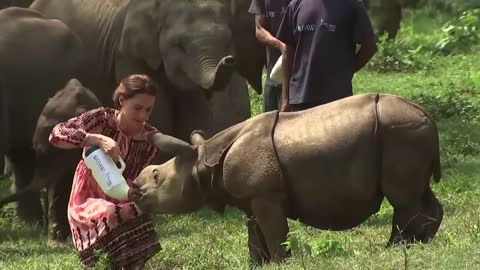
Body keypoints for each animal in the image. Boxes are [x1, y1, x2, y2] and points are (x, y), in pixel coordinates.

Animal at [133, 92, 444, 264]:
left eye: (156, 176)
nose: (135, 189)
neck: (202, 161)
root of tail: (427, 115)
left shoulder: (266, 194)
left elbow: (273, 230)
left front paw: (281, 262)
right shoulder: (250, 196)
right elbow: (255, 232)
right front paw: (257, 264)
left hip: (400, 132)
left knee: (403, 199)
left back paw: (396, 248)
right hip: (407, 132)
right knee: (418, 193)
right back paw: (424, 241)